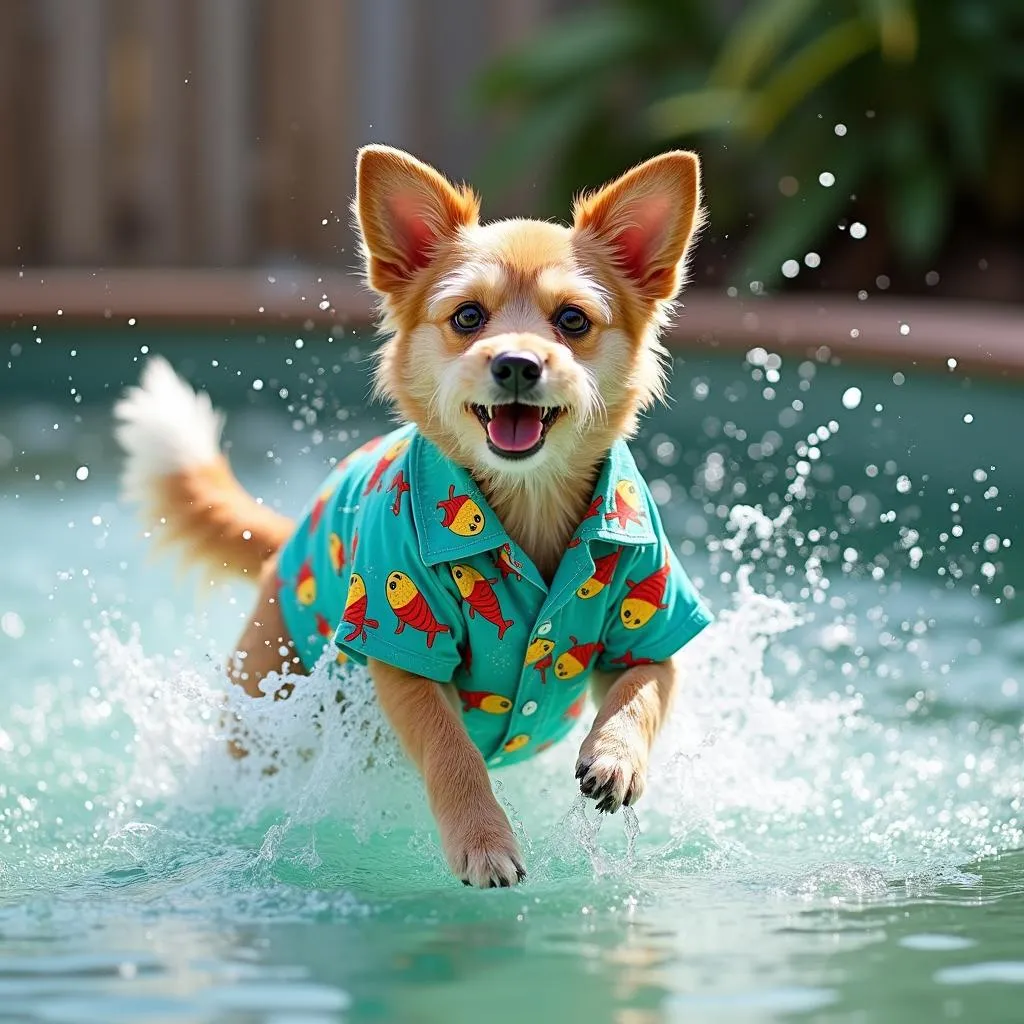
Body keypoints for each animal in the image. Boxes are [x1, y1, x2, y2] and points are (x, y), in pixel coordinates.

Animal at [116, 144, 712, 888]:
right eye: (467, 317)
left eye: (573, 320)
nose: (517, 364)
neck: (527, 500)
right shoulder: (403, 657)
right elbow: (451, 752)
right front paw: (484, 839)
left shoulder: (654, 627)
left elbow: (640, 695)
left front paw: (615, 758)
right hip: (268, 710)